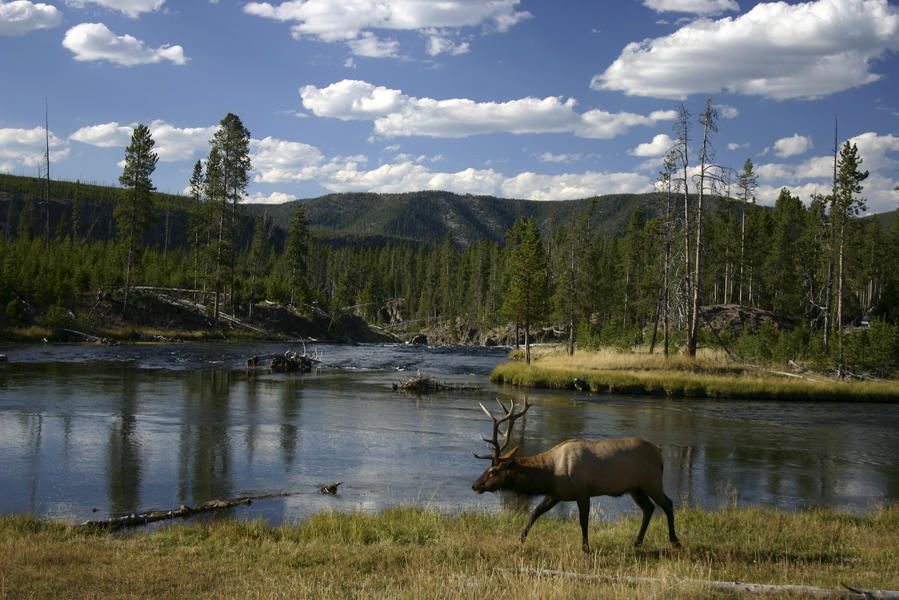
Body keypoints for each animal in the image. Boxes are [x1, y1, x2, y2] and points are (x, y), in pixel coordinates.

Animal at [474, 398, 680, 552]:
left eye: (492, 471)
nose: (475, 485)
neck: (551, 474)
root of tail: (660, 454)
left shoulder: (582, 492)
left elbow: (583, 521)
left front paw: (586, 548)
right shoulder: (557, 493)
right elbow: (535, 512)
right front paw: (521, 539)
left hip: (652, 482)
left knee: (667, 504)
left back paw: (674, 540)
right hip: (635, 488)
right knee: (649, 508)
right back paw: (637, 542)